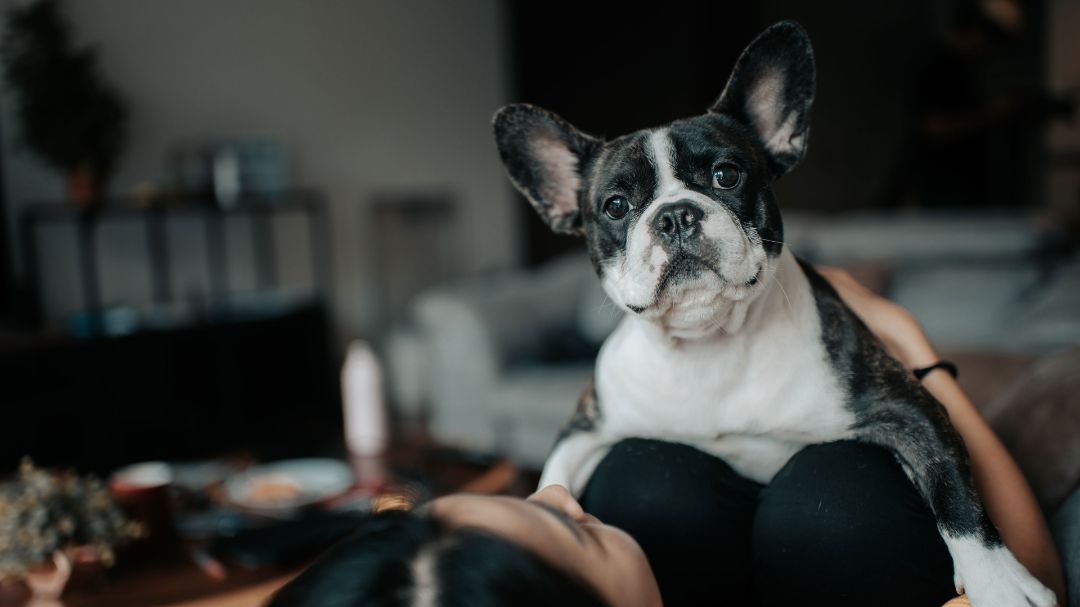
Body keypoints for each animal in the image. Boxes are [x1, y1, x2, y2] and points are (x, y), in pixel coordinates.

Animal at [494, 20, 1054, 604]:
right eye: (616, 206)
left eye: (726, 175)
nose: (674, 215)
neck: (711, 343)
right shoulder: (586, 429)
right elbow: (552, 482)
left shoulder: (910, 407)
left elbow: (954, 489)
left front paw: (1000, 583)